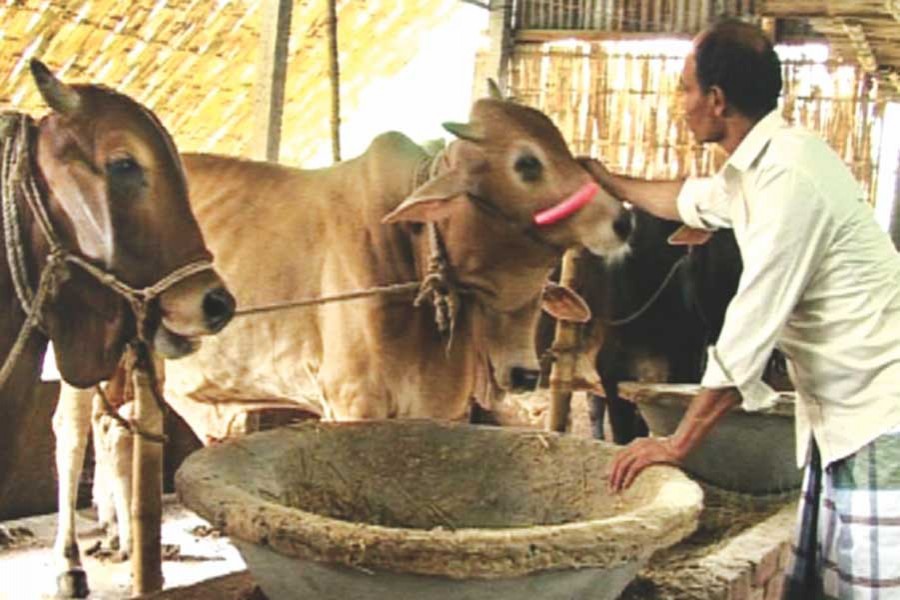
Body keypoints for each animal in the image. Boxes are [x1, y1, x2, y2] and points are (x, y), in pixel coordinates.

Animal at [52, 93, 632, 595]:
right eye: (528, 163)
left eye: (540, 301)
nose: (623, 217)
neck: (410, 248)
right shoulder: (354, 402)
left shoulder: (437, 410)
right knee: (75, 432)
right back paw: (74, 566)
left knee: (116, 431)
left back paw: (124, 539)